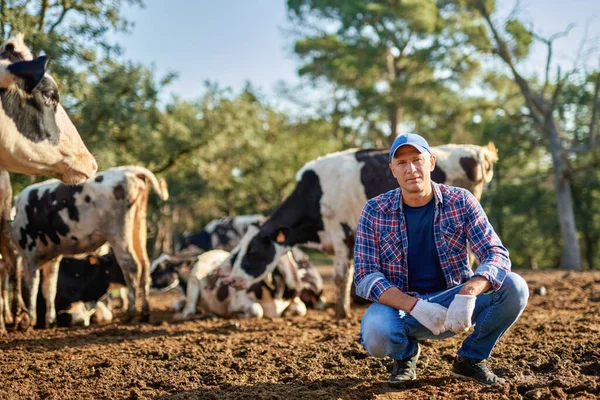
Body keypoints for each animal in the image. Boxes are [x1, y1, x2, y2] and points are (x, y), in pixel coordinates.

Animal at [10, 166, 169, 328]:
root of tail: (130, 170)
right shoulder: (52, 258)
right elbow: (49, 288)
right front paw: (50, 321)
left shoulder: (29, 255)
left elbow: (32, 287)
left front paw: (30, 320)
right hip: (138, 228)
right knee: (145, 265)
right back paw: (145, 313)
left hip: (118, 232)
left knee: (131, 265)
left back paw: (131, 313)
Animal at [224, 144, 496, 318]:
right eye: (238, 250)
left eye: (253, 250)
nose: (231, 280)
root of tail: (475, 151)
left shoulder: (341, 235)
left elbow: (340, 277)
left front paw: (340, 314)